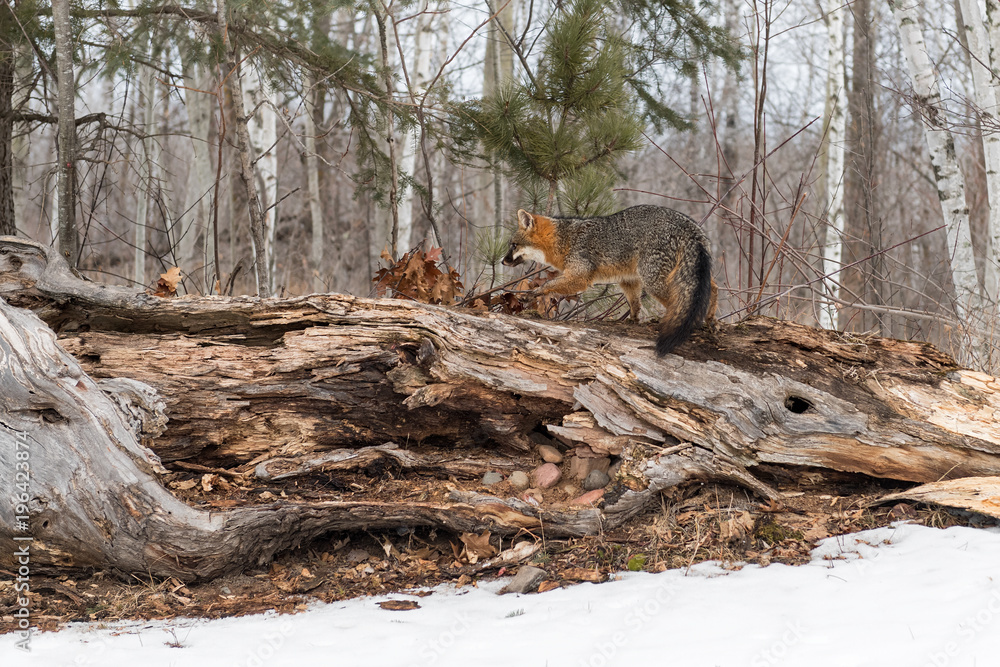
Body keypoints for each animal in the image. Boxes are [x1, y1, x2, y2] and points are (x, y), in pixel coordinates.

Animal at [502, 204, 717, 356]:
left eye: (513, 245)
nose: (502, 261)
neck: (565, 240)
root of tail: (689, 224)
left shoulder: (579, 276)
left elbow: (548, 285)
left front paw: (531, 295)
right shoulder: (627, 279)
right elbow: (634, 303)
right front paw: (633, 320)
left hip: (655, 281)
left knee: (679, 302)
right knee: (713, 288)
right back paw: (710, 320)